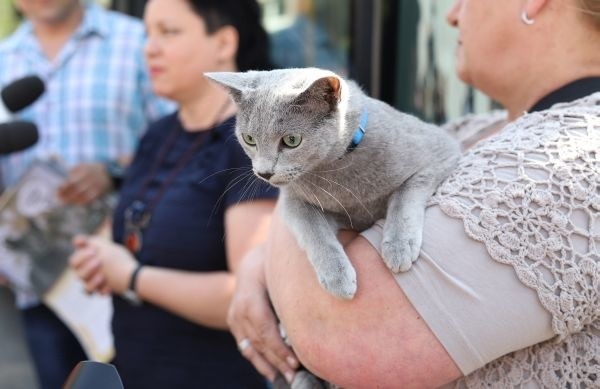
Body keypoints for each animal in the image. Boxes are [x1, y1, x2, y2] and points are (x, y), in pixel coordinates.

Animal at [206, 67, 460, 298]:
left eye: (291, 140)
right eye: (249, 139)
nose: (264, 173)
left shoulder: (442, 149)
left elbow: (404, 196)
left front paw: (398, 247)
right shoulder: (293, 200)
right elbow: (313, 229)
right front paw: (338, 278)